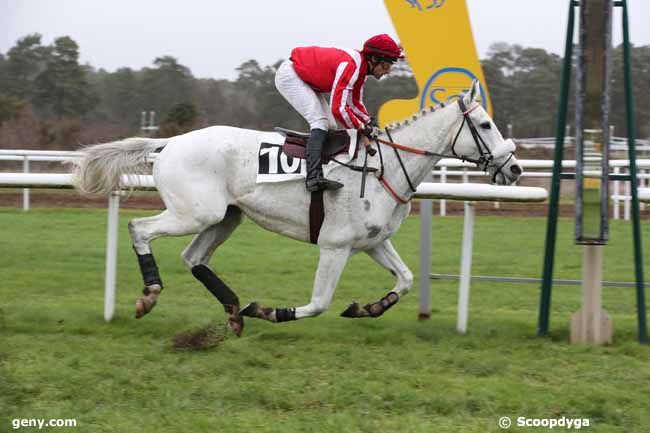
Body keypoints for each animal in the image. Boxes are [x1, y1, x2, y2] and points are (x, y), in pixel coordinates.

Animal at [71, 82, 520, 338]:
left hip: (225, 216)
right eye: (484, 125)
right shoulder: (335, 246)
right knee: (139, 228)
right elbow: (319, 303)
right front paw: (270, 311)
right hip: (193, 214)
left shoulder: (372, 242)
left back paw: (233, 311)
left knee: (194, 257)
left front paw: (368, 307)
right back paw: (150, 295)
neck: (383, 166)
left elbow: (406, 280)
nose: (514, 168)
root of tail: (167, 143)